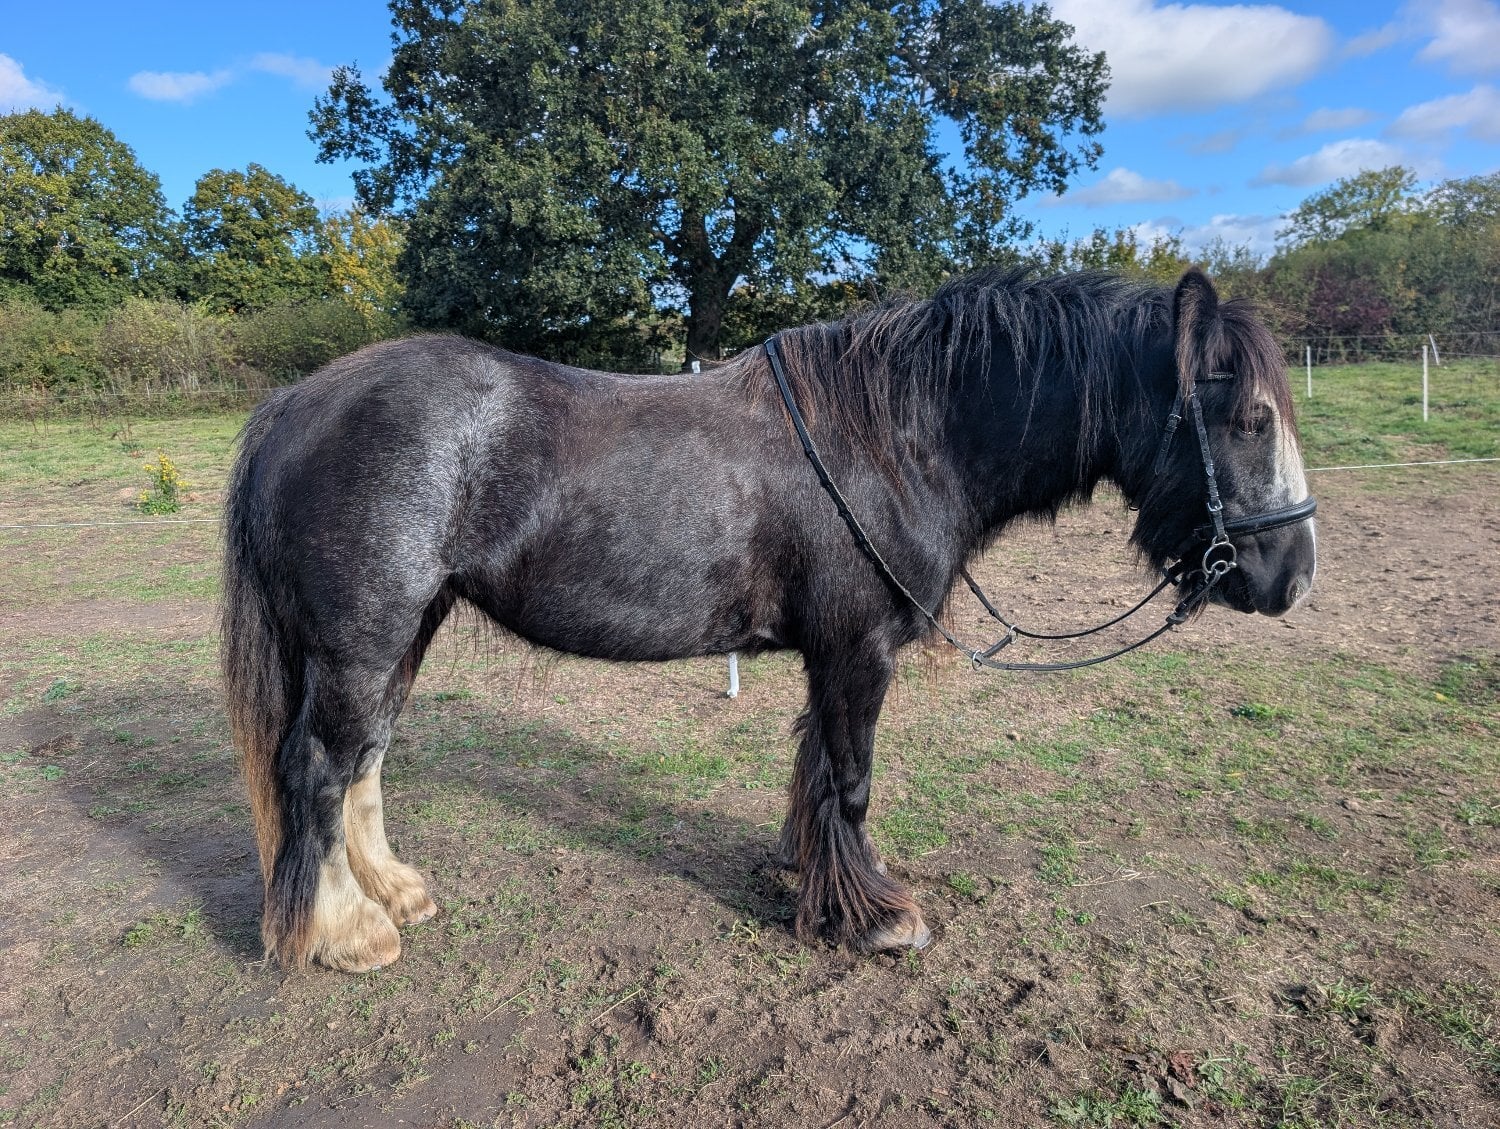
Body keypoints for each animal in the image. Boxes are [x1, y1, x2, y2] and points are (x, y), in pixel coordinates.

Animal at [221, 267, 1317, 972]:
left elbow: (818, 771)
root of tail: (295, 402)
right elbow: (854, 780)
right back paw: (347, 933)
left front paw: (810, 879)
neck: (898, 436)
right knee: (317, 768)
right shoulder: (859, 651)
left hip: (405, 632)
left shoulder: (831, 653)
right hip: (362, 642)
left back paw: (393, 892)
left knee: (364, 760)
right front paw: (875, 920)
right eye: (1251, 419)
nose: (1293, 575)